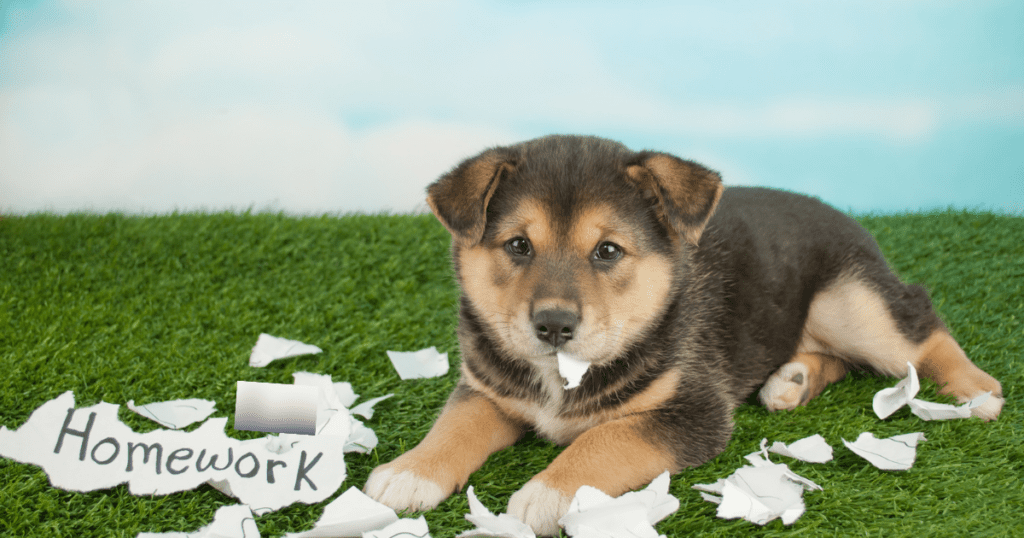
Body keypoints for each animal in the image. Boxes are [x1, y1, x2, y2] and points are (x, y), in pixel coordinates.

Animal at [364, 134, 1003, 532]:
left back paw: (977, 391)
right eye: (518, 245)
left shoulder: (692, 411)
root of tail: (843, 214)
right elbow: (454, 425)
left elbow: (606, 439)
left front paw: (548, 494)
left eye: (608, 251)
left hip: (852, 303)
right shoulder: (488, 390)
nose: (553, 325)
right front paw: (409, 472)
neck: (559, 377)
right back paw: (792, 381)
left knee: (918, 326)